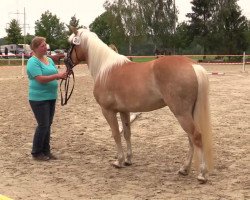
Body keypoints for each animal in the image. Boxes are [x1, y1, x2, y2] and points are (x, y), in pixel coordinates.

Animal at [65, 27, 214, 183]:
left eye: (71, 45)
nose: (65, 61)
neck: (105, 69)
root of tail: (192, 65)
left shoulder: (108, 111)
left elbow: (116, 134)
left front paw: (118, 161)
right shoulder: (124, 111)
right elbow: (127, 133)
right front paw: (128, 160)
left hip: (181, 114)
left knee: (196, 136)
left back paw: (202, 174)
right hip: (189, 113)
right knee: (191, 139)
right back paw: (184, 169)